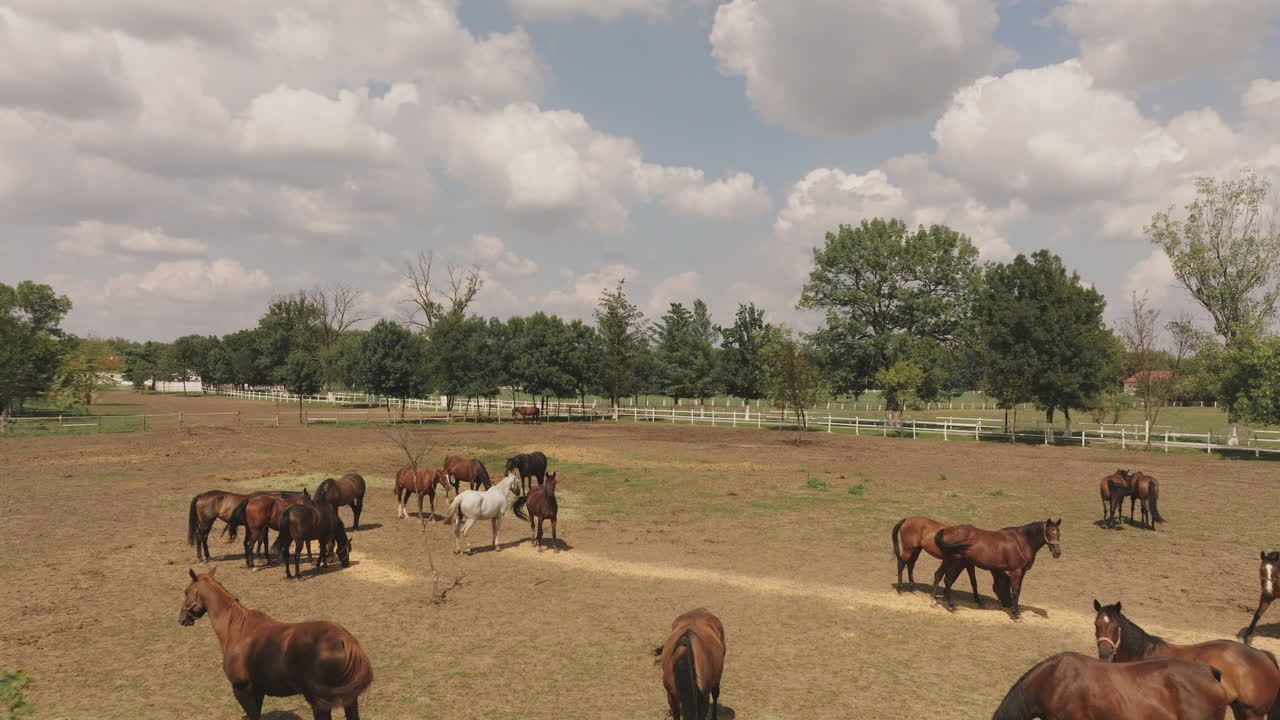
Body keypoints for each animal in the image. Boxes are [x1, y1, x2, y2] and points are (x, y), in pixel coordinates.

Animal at [179, 567, 372, 719]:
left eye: (186, 591)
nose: (181, 618)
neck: (237, 629)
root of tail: (345, 640)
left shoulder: (242, 690)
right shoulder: (258, 691)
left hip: (321, 704)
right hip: (349, 700)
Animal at [933, 519, 1062, 619]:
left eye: (1059, 533)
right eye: (1049, 532)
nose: (1057, 553)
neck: (1021, 542)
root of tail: (947, 530)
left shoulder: (1022, 571)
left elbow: (1018, 590)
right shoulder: (1016, 571)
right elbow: (1015, 591)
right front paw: (1016, 615)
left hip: (954, 562)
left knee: (939, 575)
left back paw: (935, 601)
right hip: (954, 562)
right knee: (948, 580)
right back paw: (951, 606)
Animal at [1093, 600, 1280, 719]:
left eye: (1116, 626)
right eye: (1096, 624)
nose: (1105, 654)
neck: (1143, 654)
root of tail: (1263, 655)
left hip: (1253, 713)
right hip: (1240, 709)